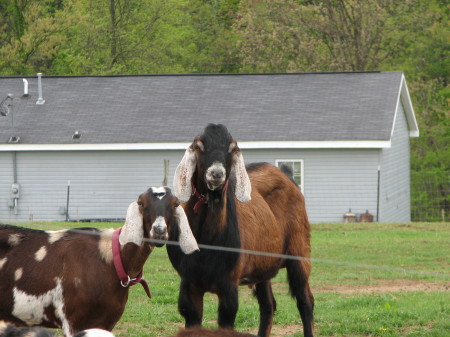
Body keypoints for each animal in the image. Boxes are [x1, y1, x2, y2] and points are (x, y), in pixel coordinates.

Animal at [0, 186, 197, 336]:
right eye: (142, 203)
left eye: (175, 204)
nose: (158, 231)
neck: (111, 259)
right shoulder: (74, 321)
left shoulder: (106, 322)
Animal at [171, 123, 314, 336]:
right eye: (200, 146)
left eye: (231, 148)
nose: (216, 174)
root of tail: (287, 176)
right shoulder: (189, 283)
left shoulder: (229, 285)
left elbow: (226, 320)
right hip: (263, 265)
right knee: (268, 305)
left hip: (300, 251)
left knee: (305, 301)